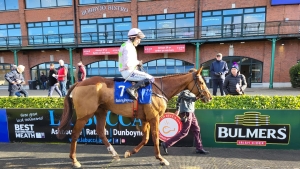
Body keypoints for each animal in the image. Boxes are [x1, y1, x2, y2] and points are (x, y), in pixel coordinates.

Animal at [56, 67, 211, 168]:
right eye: (202, 82)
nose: (209, 97)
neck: (159, 89)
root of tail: (79, 82)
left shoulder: (145, 118)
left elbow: (146, 138)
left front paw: (129, 153)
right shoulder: (154, 117)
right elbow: (155, 137)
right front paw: (161, 159)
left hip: (101, 111)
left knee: (100, 131)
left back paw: (114, 154)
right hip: (85, 114)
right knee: (75, 133)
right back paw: (74, 160)